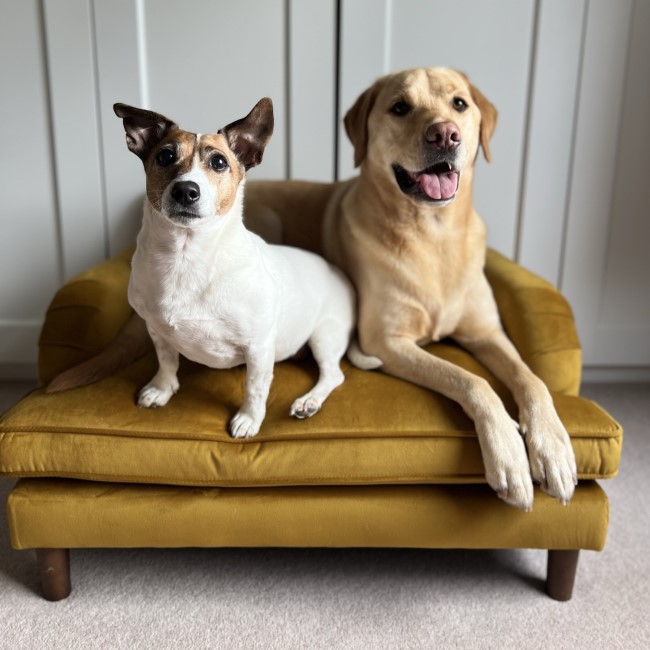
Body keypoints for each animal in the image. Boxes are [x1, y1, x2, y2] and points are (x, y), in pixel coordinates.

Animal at [111, 98, 354, 438]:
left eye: (219, 162)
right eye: (165, 156)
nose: (185, 190)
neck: (187, 256)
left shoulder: (258, 347)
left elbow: (255, 388)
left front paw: (249, 419)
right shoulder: (156, 329)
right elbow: (167, 361)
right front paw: (162, 389)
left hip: (326, 334)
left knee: (333, 375)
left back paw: (309, 402)